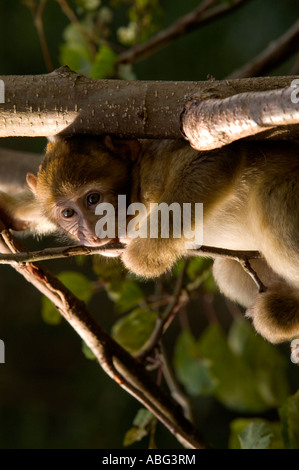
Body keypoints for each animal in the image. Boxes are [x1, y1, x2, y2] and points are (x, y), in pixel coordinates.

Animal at [0, 134, 299, 344]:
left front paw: (143, 256)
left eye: (93, 199)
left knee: (270, 198)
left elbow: (213, 159)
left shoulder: (155, 165)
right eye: (67, 213)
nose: (92, 233)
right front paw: (11, 211)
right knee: (228, 270)